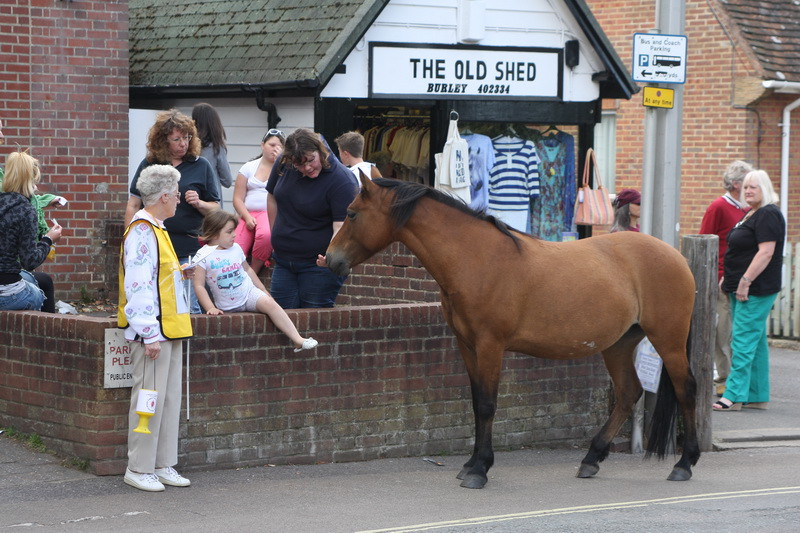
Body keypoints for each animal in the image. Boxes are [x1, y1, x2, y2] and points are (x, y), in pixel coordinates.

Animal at [324, 174, 700, 486]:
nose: (329, 260)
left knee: (686, 390)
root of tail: (677, 256)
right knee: (627, 393)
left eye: (352, 213)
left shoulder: (490, 346)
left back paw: (684, 463)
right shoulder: (467, 345)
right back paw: (592, 458)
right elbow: (476, 402)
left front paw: (479, 469)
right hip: (619, 344)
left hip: (668, 341)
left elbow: (488, 405)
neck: (478, 259)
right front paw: (471, 463)